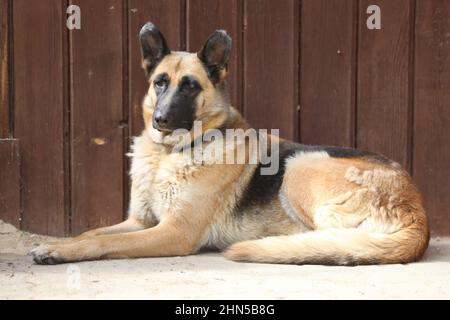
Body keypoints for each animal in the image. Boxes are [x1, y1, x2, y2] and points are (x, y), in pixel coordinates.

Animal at [29, 22, 430, 266]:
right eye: (160, 82)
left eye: (190, 86)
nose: (160, 119)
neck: (169, 153)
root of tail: (418, 214)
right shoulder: (140, 221)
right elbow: (90, 232)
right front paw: (57, 245)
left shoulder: (173, 232)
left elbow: (103, 242)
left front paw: (65, 250)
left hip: (301, 163)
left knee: (333, 238)